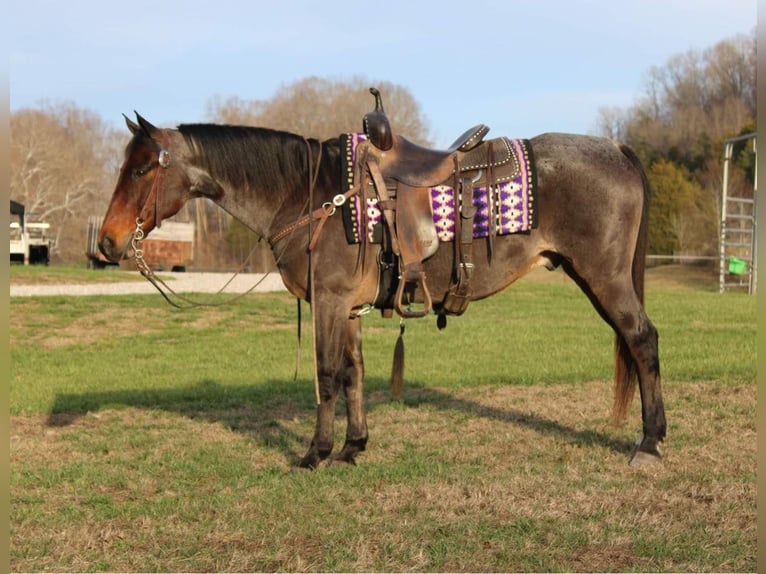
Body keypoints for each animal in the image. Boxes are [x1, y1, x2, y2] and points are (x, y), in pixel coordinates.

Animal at [99, 107, 664, 468]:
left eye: (142, 169)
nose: (107, 242)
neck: (311, 195)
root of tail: (615, 148)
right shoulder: (348, 309)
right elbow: (354, 372)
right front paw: (354, 446)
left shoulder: (328, 302)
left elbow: (327, 375)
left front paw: (316, 453)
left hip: (605, 278)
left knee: (642, 341)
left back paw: (651, 442)